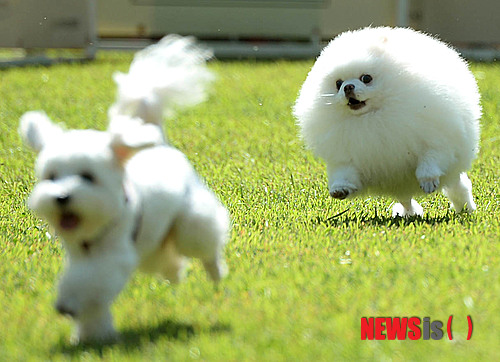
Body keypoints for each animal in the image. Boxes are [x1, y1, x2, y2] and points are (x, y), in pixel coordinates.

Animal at [19, 36, 230, 346]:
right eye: (51, 177)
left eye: (88, 177)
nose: (62, 198)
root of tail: (160, 144)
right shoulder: (81, 256)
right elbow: (92, 299)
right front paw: (92, 335)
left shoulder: (112, 255)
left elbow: (90, 283)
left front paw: (69, 304)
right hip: (154, 242)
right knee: (168, 258)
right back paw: (176, 273)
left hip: (189, 221)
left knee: (204, 241)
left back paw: (215, 271)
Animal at [294, 27, 482, 218]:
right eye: (338, 83)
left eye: (366, 78)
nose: (347, 87)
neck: (373, 116)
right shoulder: (346, 156)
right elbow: (344, 173)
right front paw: (340, 189)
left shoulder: (436, 140)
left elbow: (430, 161)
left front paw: (428, 181)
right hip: (399, 183)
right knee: (406, 200)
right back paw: (410, 213)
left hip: (452, 171)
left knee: (460, 188)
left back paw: (466, 209)